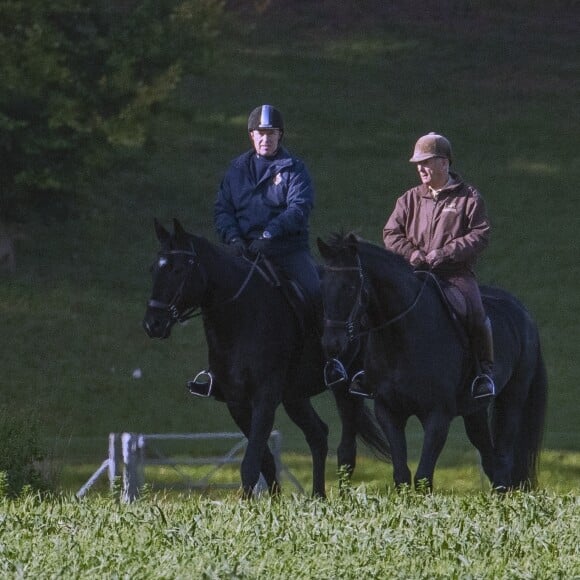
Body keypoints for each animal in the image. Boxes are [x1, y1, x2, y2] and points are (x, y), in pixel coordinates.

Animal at [142, 222, 390, 498]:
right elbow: (265, 461)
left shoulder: (265, 397)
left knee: (346, 449)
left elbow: (251, 464)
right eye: (154, 268)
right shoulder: (237, 402)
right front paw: (272, 502)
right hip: (294, 396)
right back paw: (318, 497)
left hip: (344, 388)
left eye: (178, 269)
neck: (241, 316)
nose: (153, 324)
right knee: (318, 435)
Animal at [318, 233, 548, 492]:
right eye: (323, 287)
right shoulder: (389, 412)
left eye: (349, 287)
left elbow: (423, 477)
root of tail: (523, 313)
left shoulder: (438, 415)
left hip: (512, 399)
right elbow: (402, 475)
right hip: (474, 411)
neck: (402, 337)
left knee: (503, 458)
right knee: (490, 459)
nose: (331, 344)